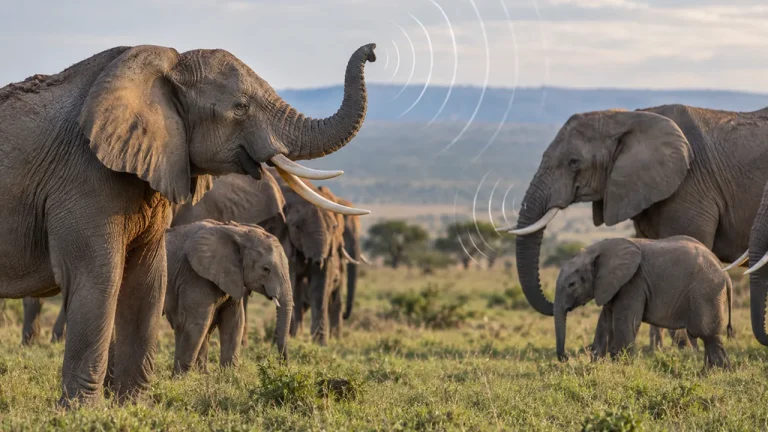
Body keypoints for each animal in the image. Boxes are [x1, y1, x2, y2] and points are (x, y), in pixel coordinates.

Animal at [164, 220, 292, 374]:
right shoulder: (194, 276)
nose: (283, 365)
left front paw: (227, 375)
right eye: (265, 269)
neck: (238, 230)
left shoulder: (232, 276)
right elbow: (196, 323)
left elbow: (235, 320)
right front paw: (181, 378)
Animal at [509, 105, 768, 345]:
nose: (556, 302)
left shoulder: (692, 185)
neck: (630, 117)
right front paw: (658, 349)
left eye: (574, 163)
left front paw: (681, 348)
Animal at [555, 236, 733, 368]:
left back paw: (716, 374)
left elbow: (626, 322)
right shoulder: (611, 285)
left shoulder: (634, 282)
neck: (598, 249)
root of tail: (725, 274)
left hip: (706, 293)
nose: (565, 357)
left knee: (708, 335)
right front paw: (595, 367)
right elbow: (604, 322)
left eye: (572, 284)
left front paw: (623, 370)